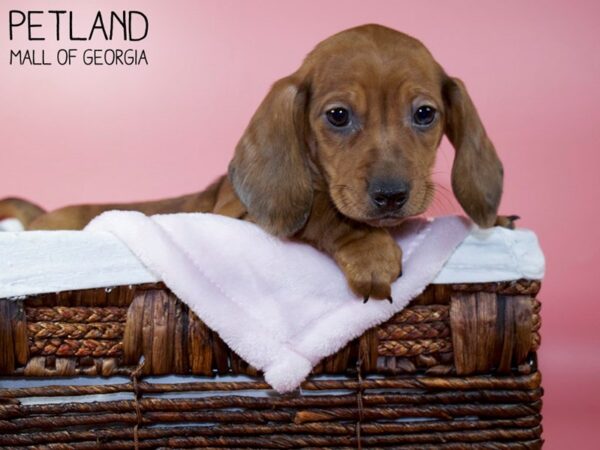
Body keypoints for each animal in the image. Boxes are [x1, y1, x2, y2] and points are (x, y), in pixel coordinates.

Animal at [0, 26, 508, 304]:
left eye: (424, 114)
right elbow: (320, 212)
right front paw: (368, 247)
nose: (390, 196)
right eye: (338, 116)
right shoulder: (236, 219)